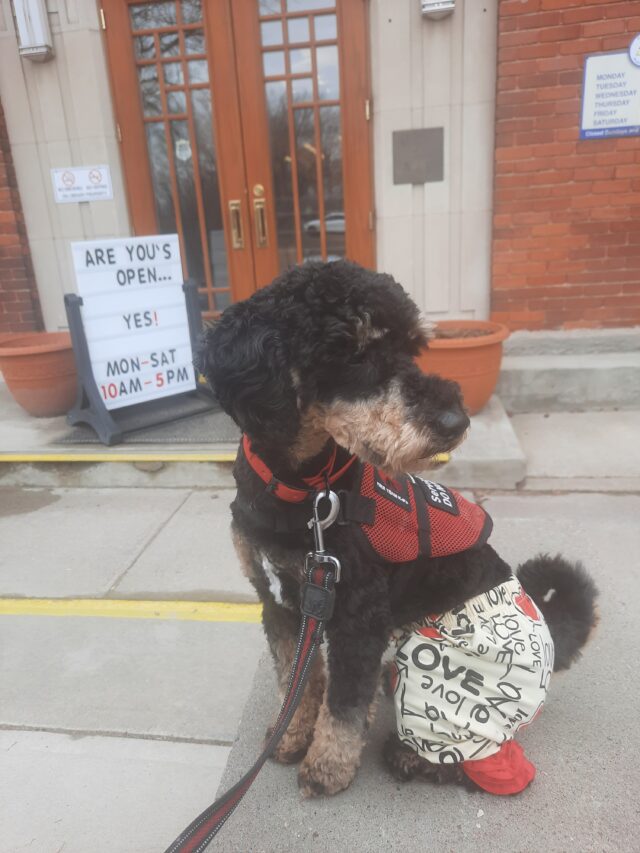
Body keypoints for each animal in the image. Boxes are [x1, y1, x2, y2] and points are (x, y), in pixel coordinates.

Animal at [198, 260, 596, 800]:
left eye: (413, 347)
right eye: (356, 352)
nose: (455, 421)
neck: (306, 492)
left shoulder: (357, 617)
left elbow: (342, 705)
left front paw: (326, 768)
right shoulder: (279, 603)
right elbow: (294, 679)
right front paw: (290, 735)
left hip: (442, 676)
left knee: (492, 761)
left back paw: (413, 758)